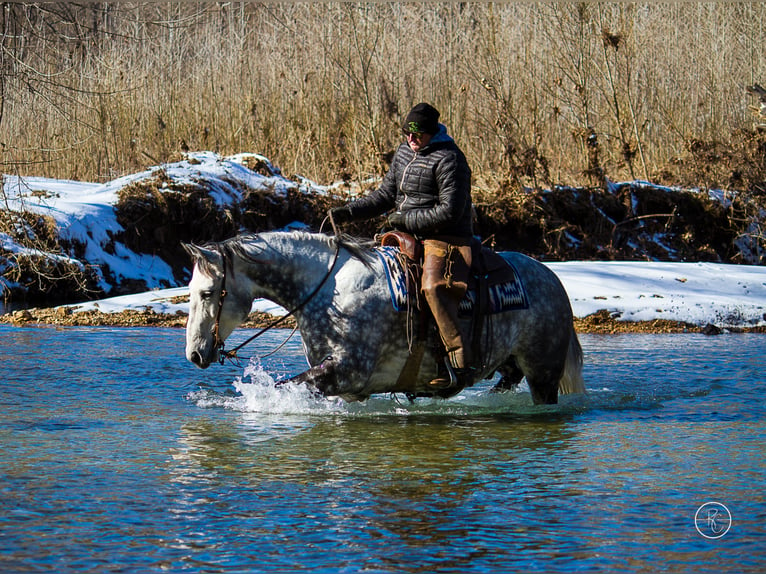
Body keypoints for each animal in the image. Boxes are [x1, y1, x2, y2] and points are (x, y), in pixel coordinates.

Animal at [183, 231, 584, 404]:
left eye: (207, 293)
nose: (195, 354)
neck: (330, 289)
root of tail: (552, 279)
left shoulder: (347, 372)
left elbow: (285, 387)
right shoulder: (345, 386)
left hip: (544, 374)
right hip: (510, 360)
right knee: (507, 376)